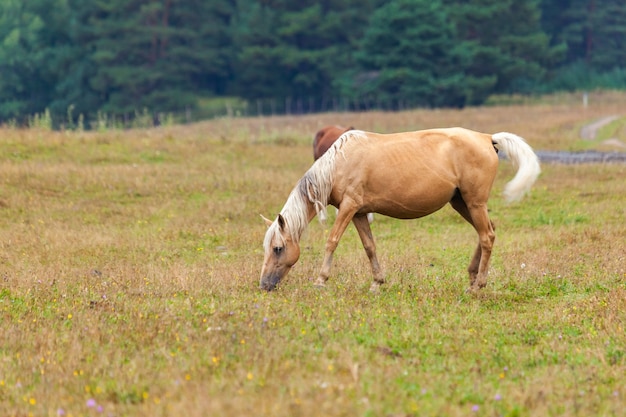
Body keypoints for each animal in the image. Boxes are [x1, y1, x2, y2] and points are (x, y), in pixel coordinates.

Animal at [260, 127, 540, 292]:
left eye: (278, 248)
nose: (264, 285)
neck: (339, 163)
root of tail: (487, 138)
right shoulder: (358, 212)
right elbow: (369, 246)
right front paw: (377, 282)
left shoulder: (348, 207)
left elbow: (332, 241)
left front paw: (320, 280)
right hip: (462, 203)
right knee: (488, 232)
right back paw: (472, 277)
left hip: (474, 203)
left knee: (487, 237)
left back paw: (478, 285)